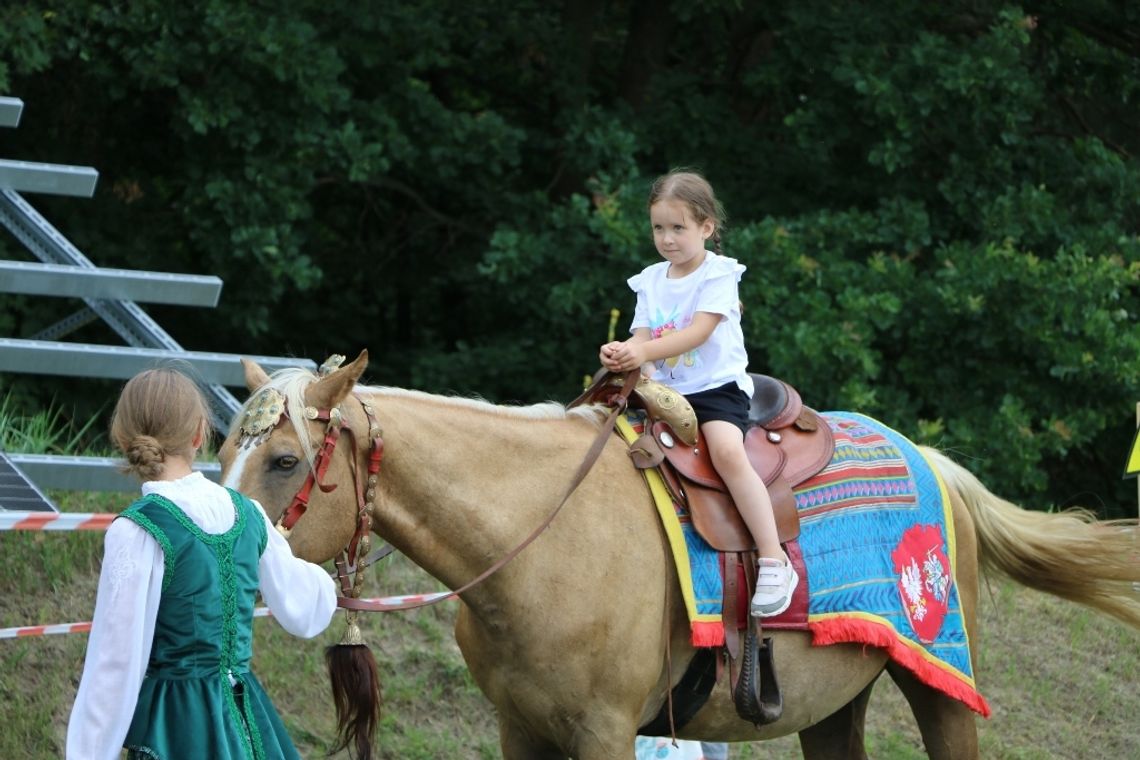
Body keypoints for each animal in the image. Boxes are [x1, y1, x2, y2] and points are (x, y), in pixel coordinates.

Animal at [215, 353, 1140, 760]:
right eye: (226, 445)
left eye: (287, 459)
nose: (219, 545)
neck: (539, 540)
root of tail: (933, 462)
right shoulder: (521, 729)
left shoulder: (605, 733)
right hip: (836, 702)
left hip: (941, 685)